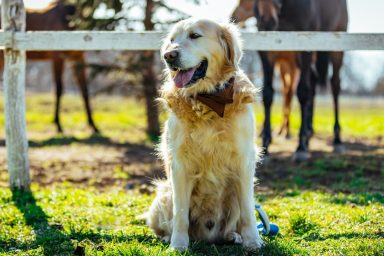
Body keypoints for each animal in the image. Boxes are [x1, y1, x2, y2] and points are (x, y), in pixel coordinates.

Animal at [0, 1, 99, 134]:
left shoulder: (78, 58)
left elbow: (84, 90)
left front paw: (93, 125)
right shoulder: (58, 57)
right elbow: (59, 89)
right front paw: (58, 125)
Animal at [147, 18, 264, 252]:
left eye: (195, 35)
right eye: (172, 40)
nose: (168, 56)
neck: (208, 100)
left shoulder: (244, 161)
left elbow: (248, 209)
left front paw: (253, 241)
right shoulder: (180, 165)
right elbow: (181, 213)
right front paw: (178, 244)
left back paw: (233, 236)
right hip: (163, 193)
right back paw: (168, 237)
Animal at [231, 0, 348, 160]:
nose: (267, 21)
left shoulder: (305, 49)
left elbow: (302, 93)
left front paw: (301, 147)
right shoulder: (267, 52)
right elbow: (268, 94)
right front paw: (266, 144)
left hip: (335, 51)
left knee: (334, 85)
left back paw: (336, 138)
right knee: (312, 84)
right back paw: (309, 134)